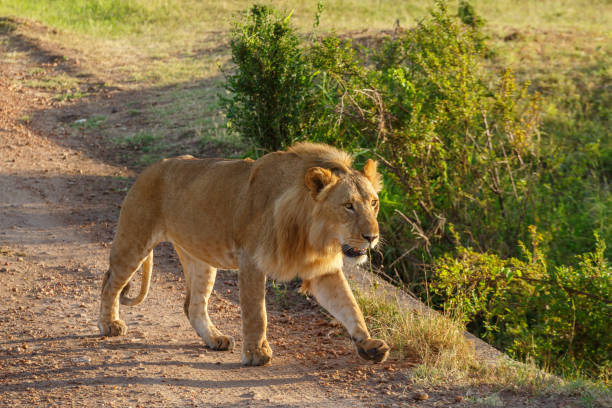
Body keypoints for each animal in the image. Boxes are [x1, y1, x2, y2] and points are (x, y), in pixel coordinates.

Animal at [98, 142, 390, 364]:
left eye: (374, 203)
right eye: (348, 205)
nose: (372, 237)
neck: (313, 234)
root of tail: (152, 167)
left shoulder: (323, 270)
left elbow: (349, 306)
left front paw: (368, 344)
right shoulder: (251, 260)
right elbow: (256, 312)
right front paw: (256, 354)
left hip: (200, 259)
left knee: (193, 305)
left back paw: (214, 338)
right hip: (134, 239)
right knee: (110, 283)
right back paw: (109, 325)